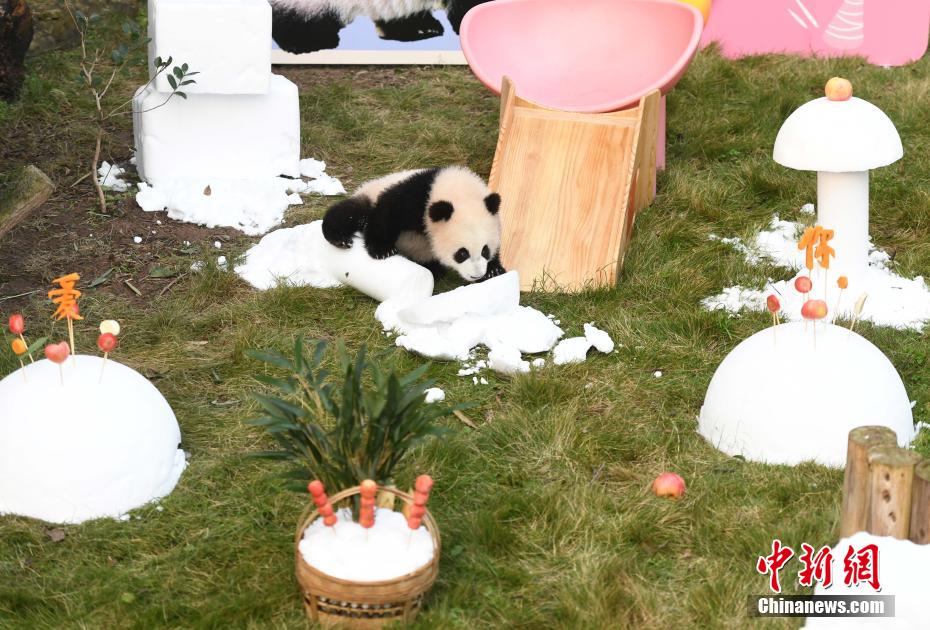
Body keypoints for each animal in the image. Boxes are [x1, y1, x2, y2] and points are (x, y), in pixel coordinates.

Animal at [320, 167, 508, 282]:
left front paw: (494, 270)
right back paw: (339, 238)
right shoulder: (416, 198)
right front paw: (382, 250)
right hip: (369, 195)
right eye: (462, 253)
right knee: (350, 213)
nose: (476, 275)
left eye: (485, 250)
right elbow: (386, 215)